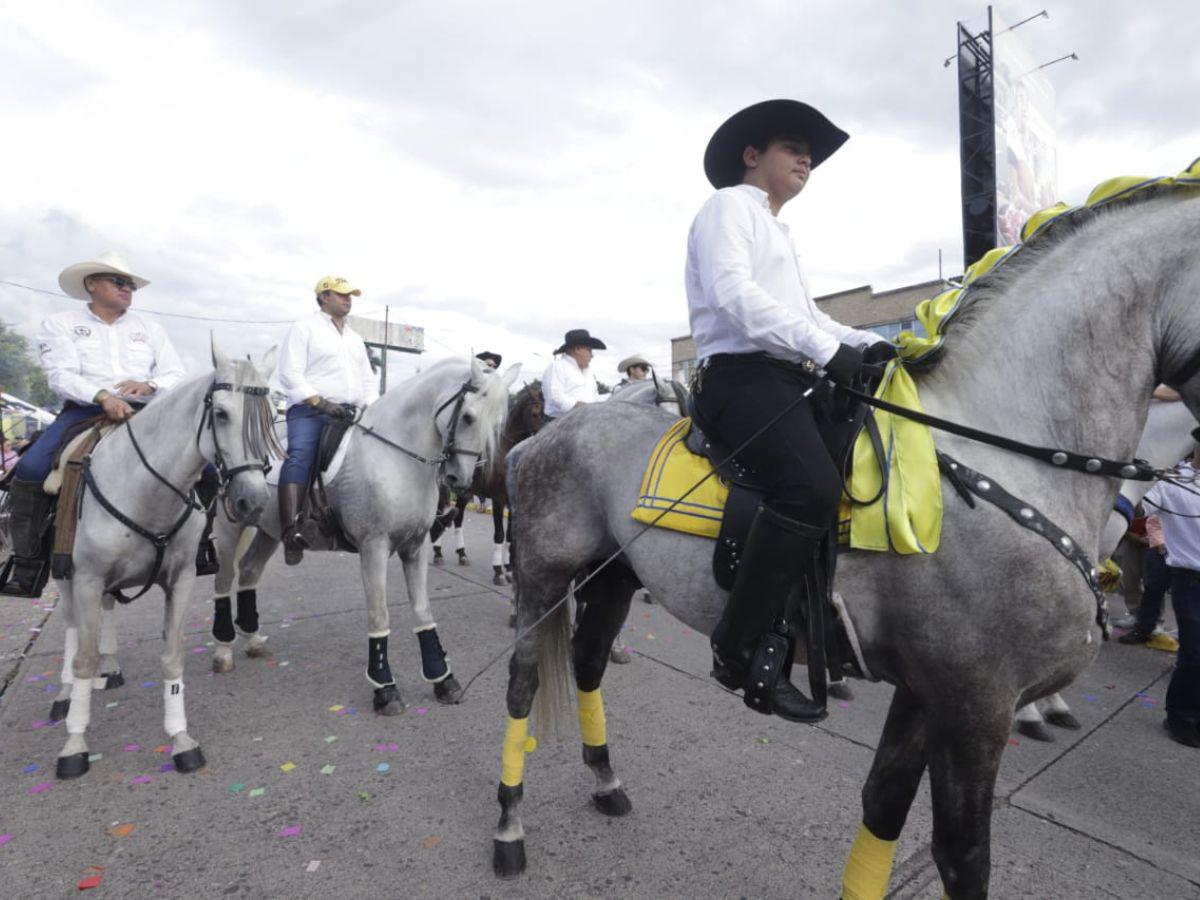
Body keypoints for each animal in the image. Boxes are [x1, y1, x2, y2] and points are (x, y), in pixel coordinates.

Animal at [50, 348, 273, 782]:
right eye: (221, 413)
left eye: (269, 419)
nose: (253, 502)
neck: (144, 491)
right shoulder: (87, 579)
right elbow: (83, 659)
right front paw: (74, 745)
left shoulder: (180, 581)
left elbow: (172, 658)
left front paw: (182, 741)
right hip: (65, 577)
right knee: (70, 628)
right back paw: (65, 694)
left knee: (107, 610)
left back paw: (111, 667)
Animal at [212, 355, 520, 715]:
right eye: (469, 417)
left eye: (497, 424)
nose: (461, 480)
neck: (397, 458)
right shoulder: (374, 547)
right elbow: (379, 614)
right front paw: (385, 687)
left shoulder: (415, 548)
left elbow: (423, 612)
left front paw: (441, 678)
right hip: (229, 527)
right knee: (224, 578)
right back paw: (223, 651)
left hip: (268, 530)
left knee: (249, 570)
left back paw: (253, 640)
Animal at [487, 188, 1200, 897]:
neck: (1008, 460)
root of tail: (541, 438)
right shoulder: (975, 706)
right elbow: (962, 853)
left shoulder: (928, 692)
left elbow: (883, 808)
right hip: (546, 576)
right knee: (523, 684)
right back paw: (509, 830)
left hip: (612, 576)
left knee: (587, 664)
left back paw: (606, 780)